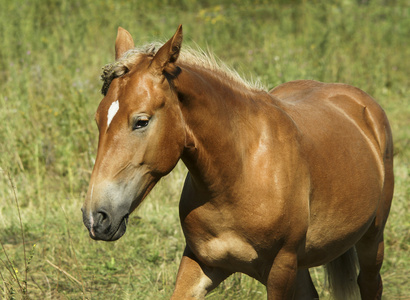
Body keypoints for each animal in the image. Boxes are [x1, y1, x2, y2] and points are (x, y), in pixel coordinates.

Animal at [81, 24, 394, 298]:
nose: (96, 217)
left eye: (141, 121)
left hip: (371, 240)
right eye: (98, 120)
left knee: (371, 284)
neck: (239, 173)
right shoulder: (201, 262)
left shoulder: (281, 269)